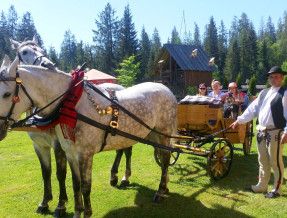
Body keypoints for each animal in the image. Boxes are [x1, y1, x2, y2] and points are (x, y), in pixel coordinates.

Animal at [0, 56, 178, 218]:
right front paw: (76, 211)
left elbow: (84, 185)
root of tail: (165, 88)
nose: (0, 127)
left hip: (163, 133)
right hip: (150, 134)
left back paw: (160, 191)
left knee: (165, 159)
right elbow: (74, 183)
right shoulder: (68, 153)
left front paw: (81, 211)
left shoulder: (84, 155)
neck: (71, 103)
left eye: (7, 94)